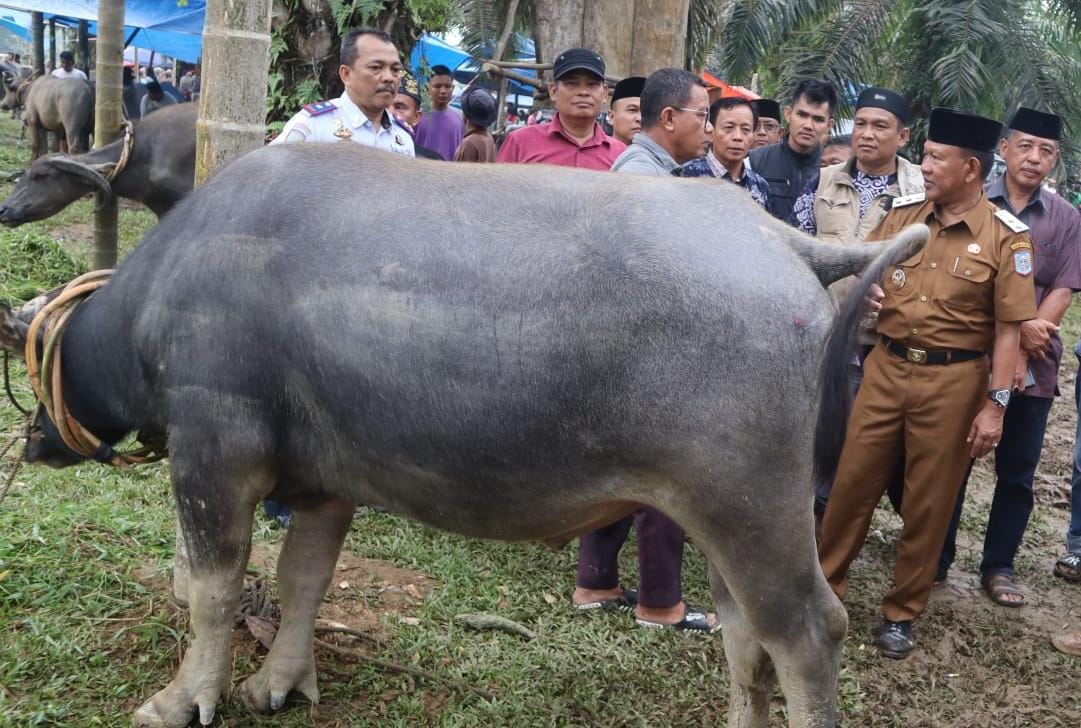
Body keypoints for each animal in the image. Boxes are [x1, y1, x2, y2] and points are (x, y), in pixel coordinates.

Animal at [0, 143, 929, 726]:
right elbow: (304, 581)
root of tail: (785, 241)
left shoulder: (213, 457)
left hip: (750, 508)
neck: (164, 289)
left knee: (806, 633)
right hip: (724, 518)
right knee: (746, 635)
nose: (35, 438)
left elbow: (212, 591)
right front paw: (280, 683)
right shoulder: (325, 483)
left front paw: (183, 697)